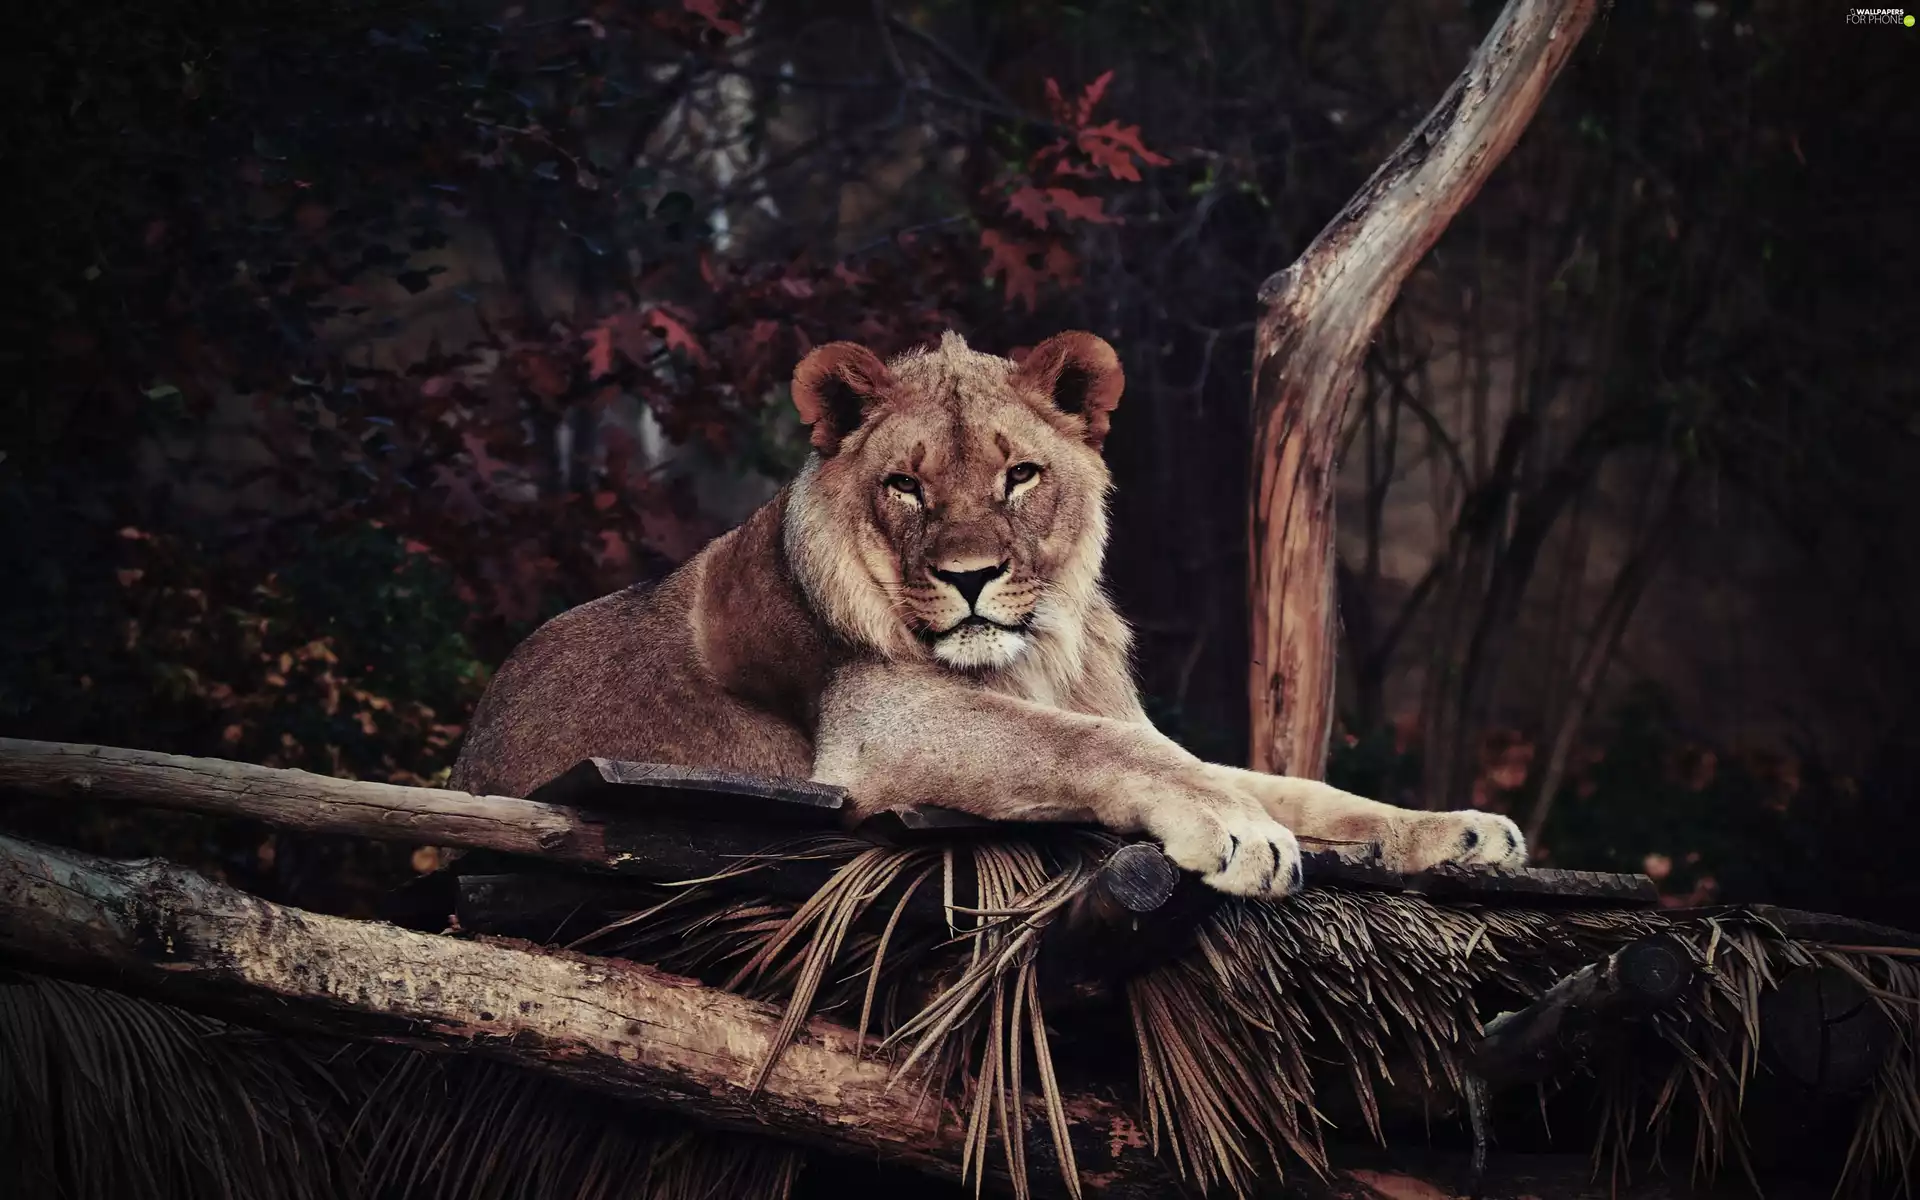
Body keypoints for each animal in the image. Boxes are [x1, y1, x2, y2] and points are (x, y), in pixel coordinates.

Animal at [449, 330, 1524, 896]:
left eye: (1020, 476)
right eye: (906, 487)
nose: (969, 577)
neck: (1032, 657)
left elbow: (1292, 785)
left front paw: (1458, 831)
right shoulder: (880, 730)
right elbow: (1096, 749)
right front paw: (1233, 828)